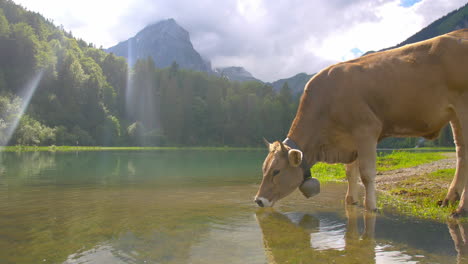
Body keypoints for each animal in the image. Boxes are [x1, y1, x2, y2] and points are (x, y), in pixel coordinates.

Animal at [256, 28, 468, 217]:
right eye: (263, 169)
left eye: (276, 171)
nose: (258, 200)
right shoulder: (349, 140)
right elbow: (350, 172)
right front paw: (350, 201)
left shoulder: (366, 130)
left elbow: (366, 173)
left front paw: (370, 206)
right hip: (455, 116)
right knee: (461, 152)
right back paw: (450, 199)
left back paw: (460, 208)